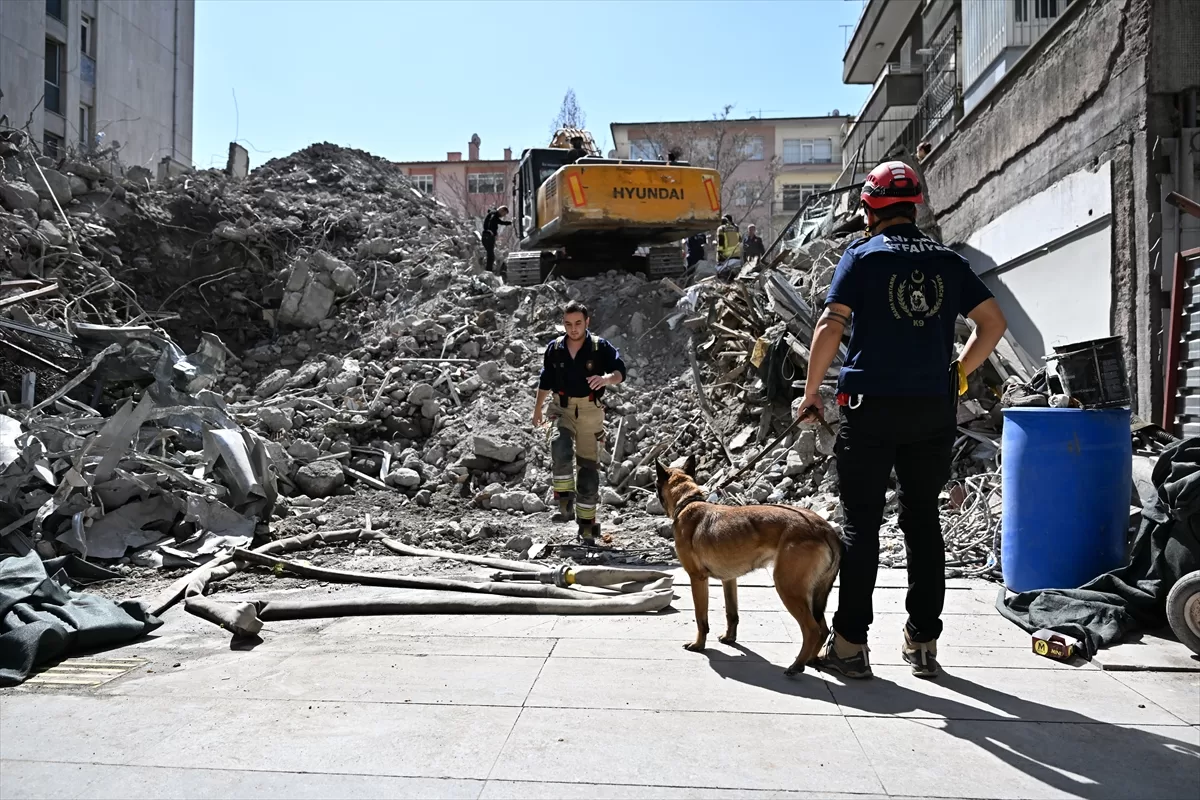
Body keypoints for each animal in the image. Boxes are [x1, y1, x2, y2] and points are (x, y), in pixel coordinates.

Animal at [657, 455, 844, 676]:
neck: (688, 502)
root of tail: (824, 529)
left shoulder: (697, 578)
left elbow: (701, 618)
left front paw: (699, 645)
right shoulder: (729, 580)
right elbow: (732, 614)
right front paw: (729, 638)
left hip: (788, 587)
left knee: (812, 629)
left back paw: (797, 665)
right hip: (813, 594)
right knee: (822, 628)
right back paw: (811, 659)